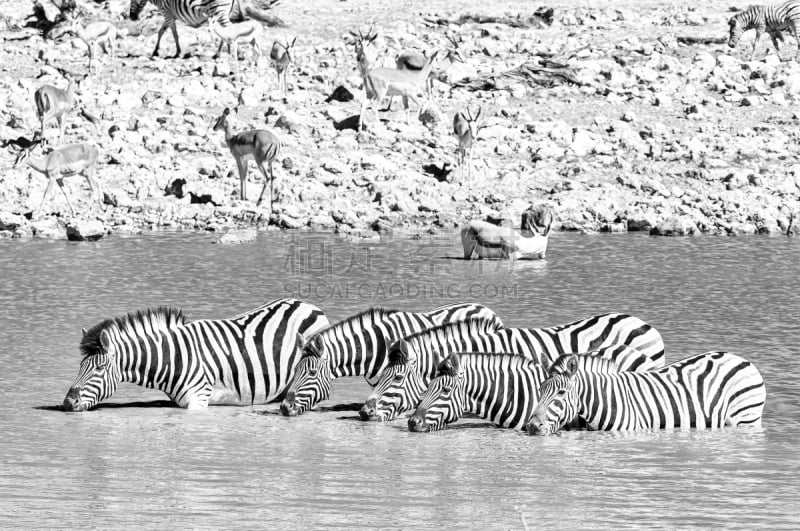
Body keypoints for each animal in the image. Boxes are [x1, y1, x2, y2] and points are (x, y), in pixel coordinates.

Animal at [59, 300, 328, 412]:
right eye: (80, 366)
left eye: (98, 369)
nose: (67, 404)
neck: (172, 358)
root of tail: (307, 304)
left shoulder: (199, 401)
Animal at [528, 352, 764, 434]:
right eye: (539, 390)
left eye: (561, 392)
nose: (532, 426)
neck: (608, 399)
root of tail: (743, 360)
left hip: (746, 419)